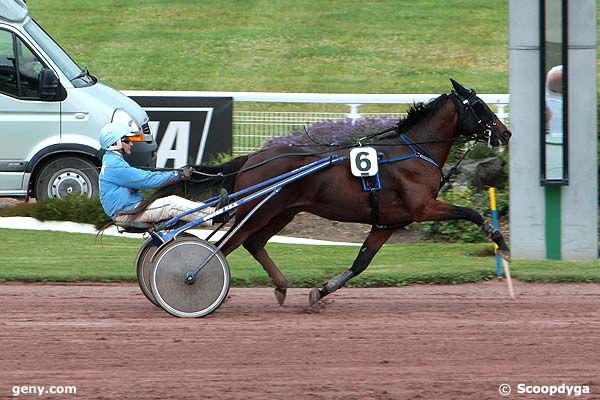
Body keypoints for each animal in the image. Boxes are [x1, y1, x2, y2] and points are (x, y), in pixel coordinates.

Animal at [146, 79, 510, 308]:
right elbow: (472, 213)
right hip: (261, 210)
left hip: (282, 211)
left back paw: (281, 286)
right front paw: (501, 242)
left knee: (252, 243)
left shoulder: (387, 223)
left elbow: (362, 262)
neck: (414, 152)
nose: (505, 132)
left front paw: (321, 292)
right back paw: (193, 280)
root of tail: (253, 158)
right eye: (479, 106)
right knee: (225, 246)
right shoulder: (423, 208)